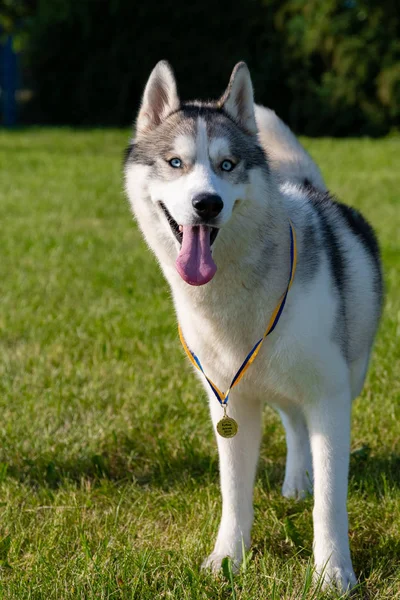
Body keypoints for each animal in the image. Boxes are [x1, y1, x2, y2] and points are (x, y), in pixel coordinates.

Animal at [123, 62, 382, 592]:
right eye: (175, 162)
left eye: (227, 165)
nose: (206, 204)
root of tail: (305, 188)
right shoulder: (230, 400)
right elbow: (234, 494)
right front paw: (227, 560)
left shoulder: (330, 396)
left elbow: (331, 501)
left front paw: (333, 575)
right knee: (293, 422)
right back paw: (296, 482)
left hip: (345, 374)